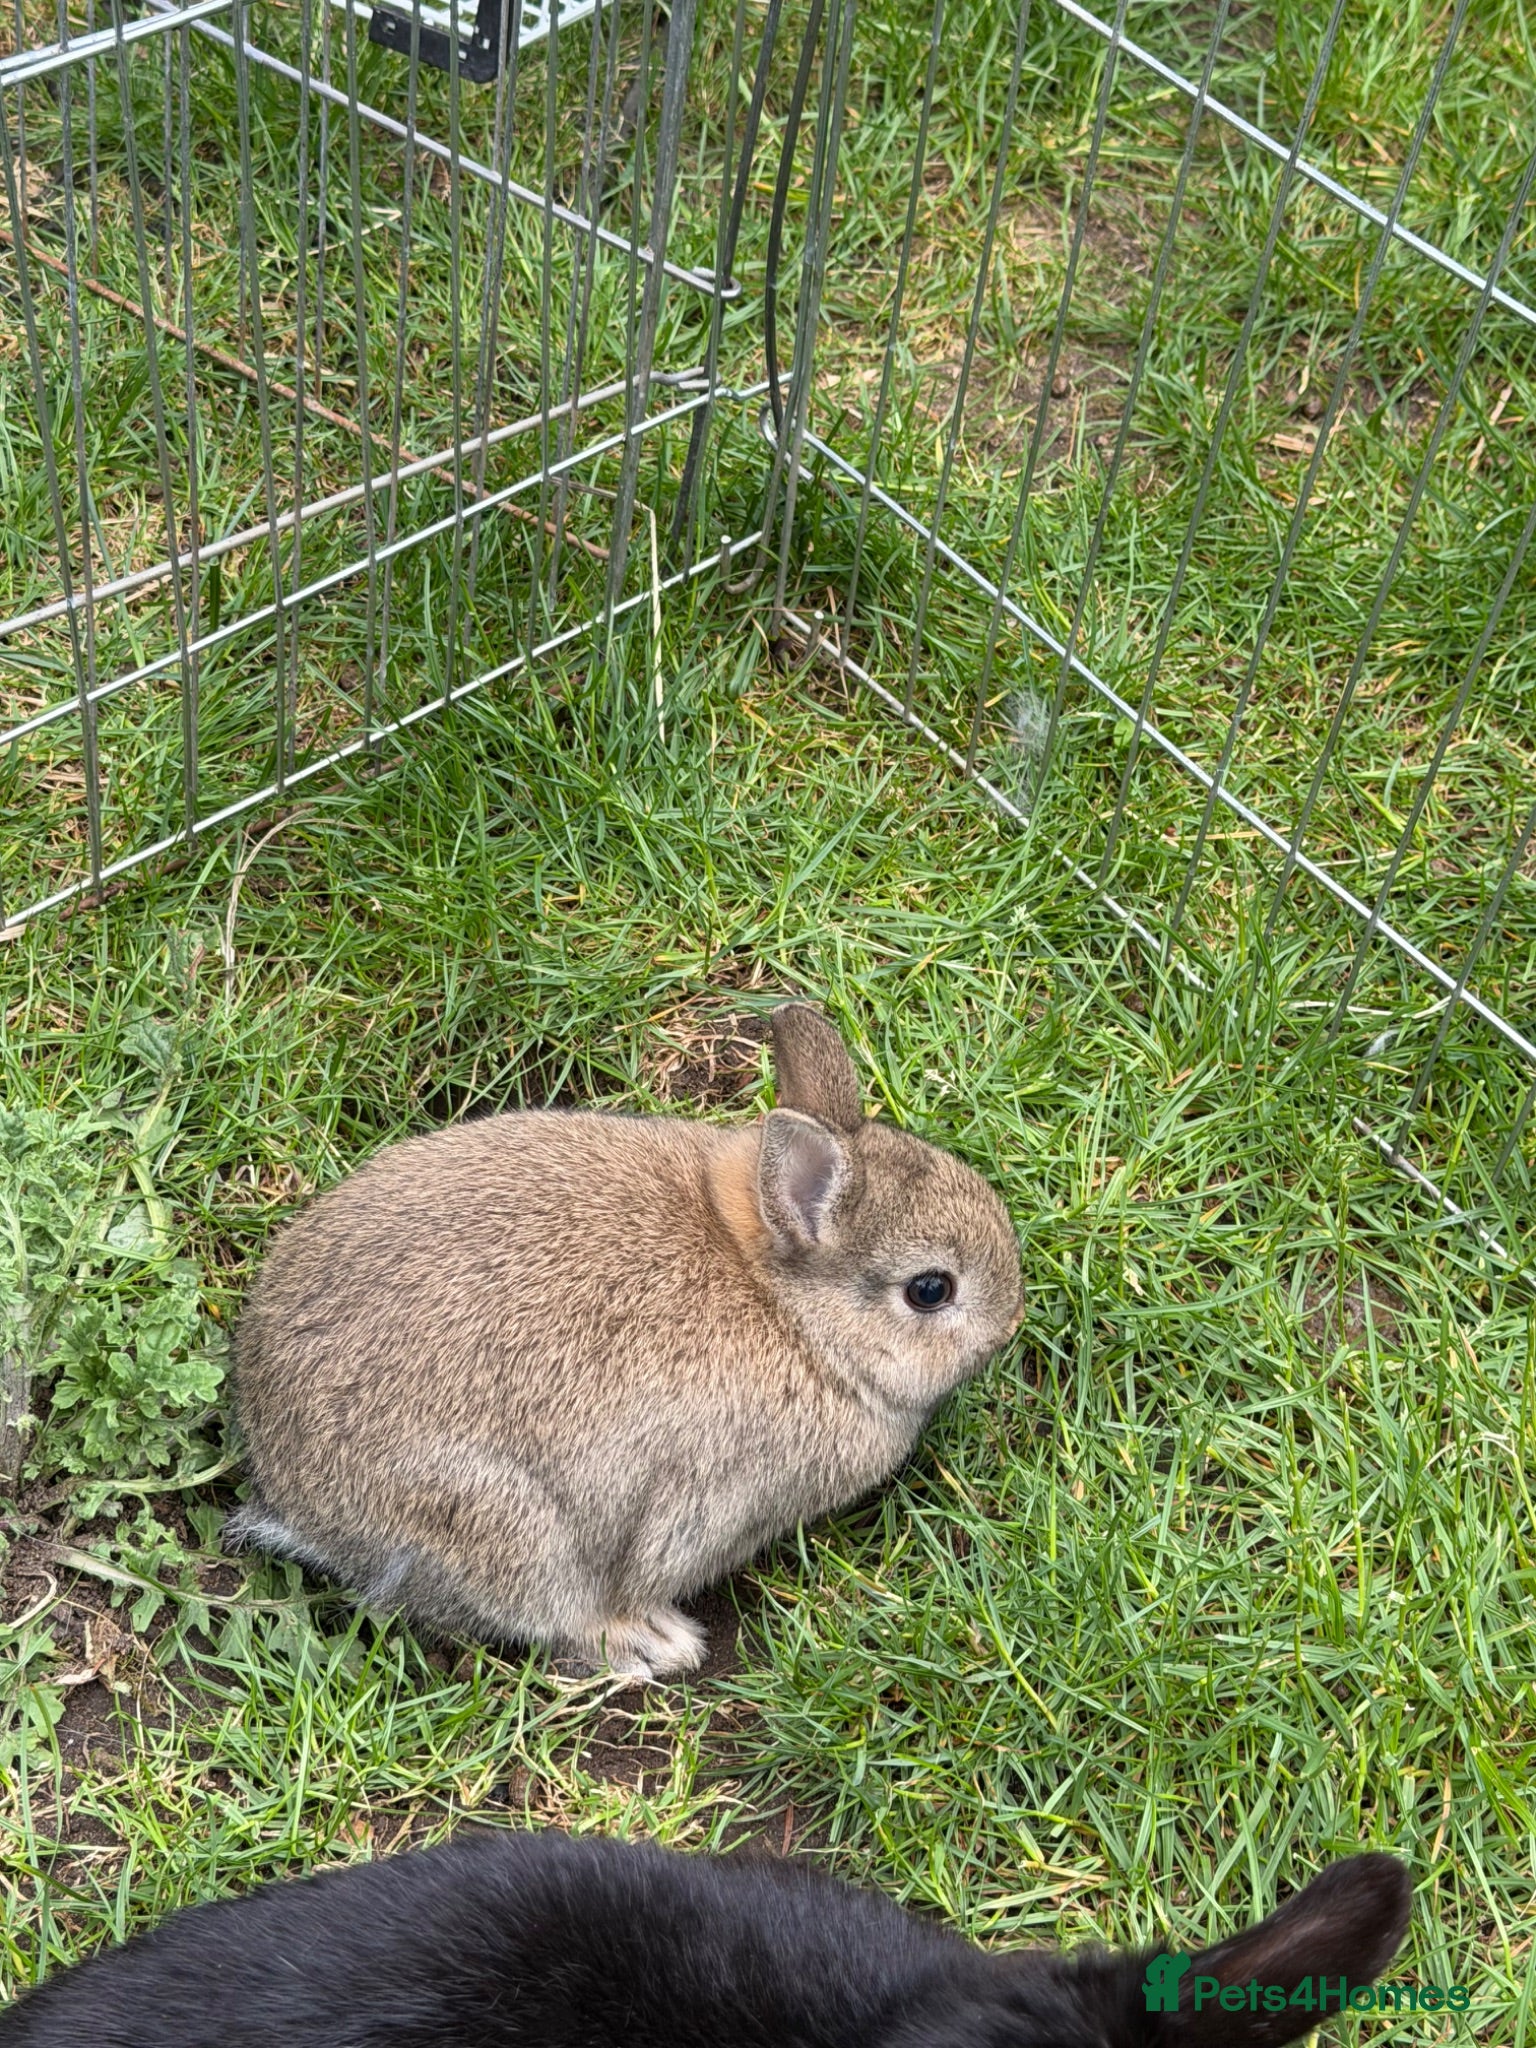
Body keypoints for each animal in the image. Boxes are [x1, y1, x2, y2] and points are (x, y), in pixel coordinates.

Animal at [224, 1002, 1024, 1679]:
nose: (1013, 1320)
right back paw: (654, 1645)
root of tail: (301, 1502)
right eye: (931, 1290)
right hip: (506, 1529)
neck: (789, 1310)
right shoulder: (699, 1499)